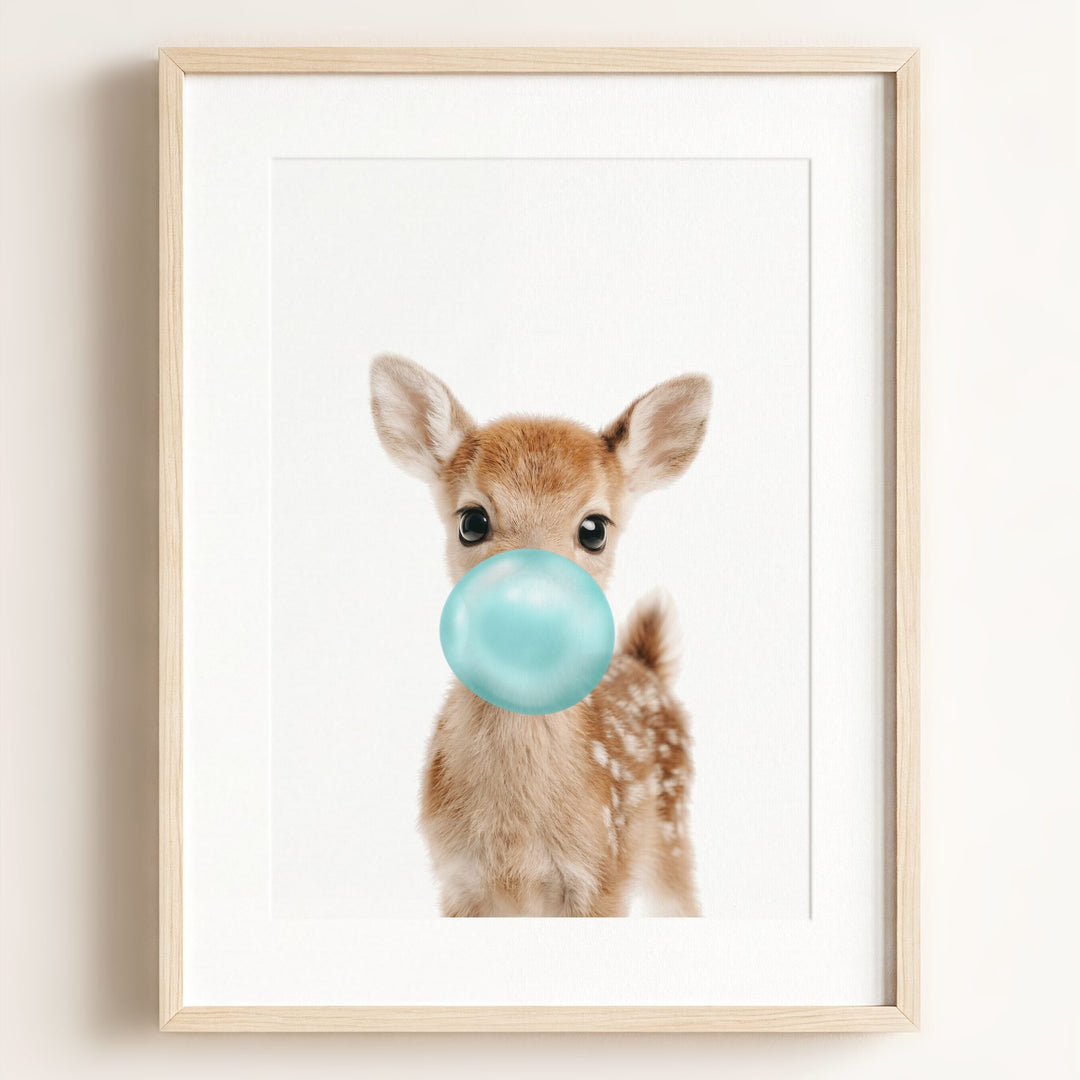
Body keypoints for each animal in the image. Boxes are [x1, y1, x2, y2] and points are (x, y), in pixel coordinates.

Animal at [370, 354, 712, 916]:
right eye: (472, 521)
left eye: (594, 529)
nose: (529, 608)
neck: (515, 842)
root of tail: (646, 664)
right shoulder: (457, 881)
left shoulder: (602, 876)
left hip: (672, 835)